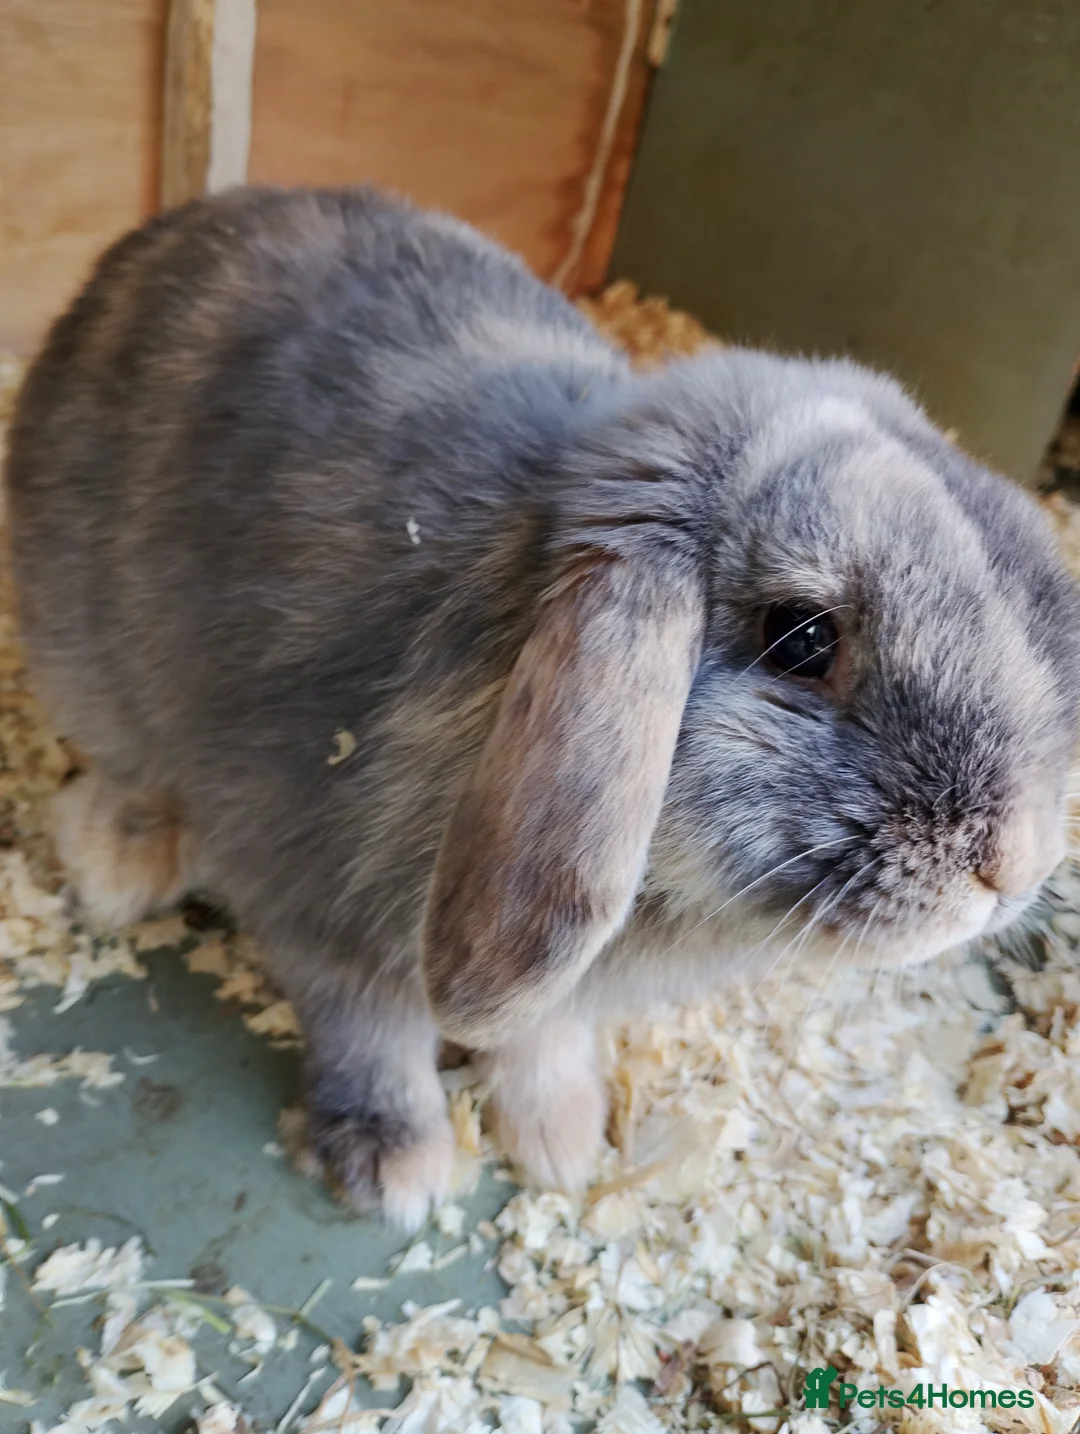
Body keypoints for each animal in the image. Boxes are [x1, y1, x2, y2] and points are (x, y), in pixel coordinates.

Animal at [5, 185, 1080, 1229]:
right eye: (803, 638)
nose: (1011, 866)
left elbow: (540, 1038)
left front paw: (565, 1143)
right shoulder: (317, 896)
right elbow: (370, 1032)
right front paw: (397, 1166)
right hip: (82, 662)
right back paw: (119, 864)